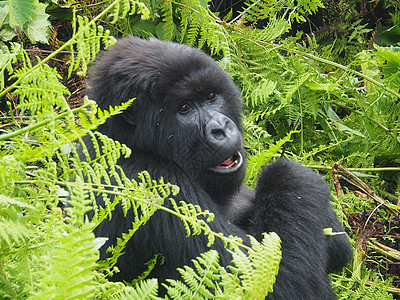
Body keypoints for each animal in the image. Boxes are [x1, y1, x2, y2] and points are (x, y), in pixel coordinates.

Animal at [86, 37, 352, 298]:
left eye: (211, 96)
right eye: (184, 108)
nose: (221, 128)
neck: (123, 141)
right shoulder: (155, 182)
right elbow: (269, 282)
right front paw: (291, 176)